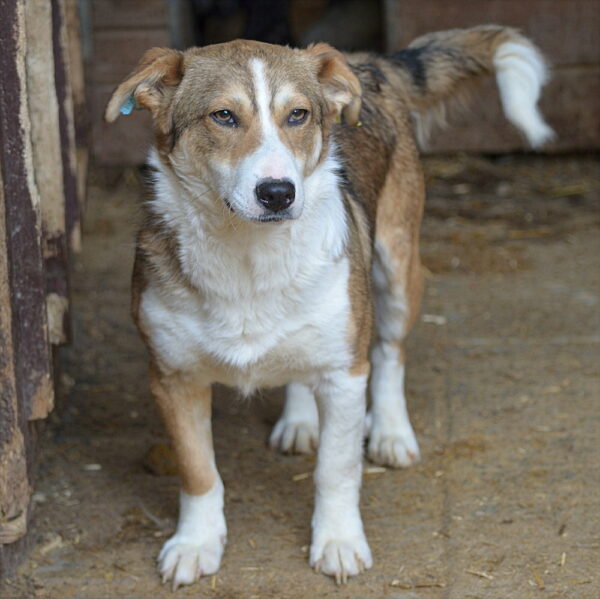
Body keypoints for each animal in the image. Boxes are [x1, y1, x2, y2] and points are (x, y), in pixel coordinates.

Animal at [105, 24, 552, 592]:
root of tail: (367, 62)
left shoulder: (344, 376)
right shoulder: (172, 378)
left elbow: (336, 470)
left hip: (395, 269)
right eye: (223, 116)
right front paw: (195, 544)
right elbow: (197, 470)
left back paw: (390, 432)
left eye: (298, 115)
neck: (248, 256)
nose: (278, 193)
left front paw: (338, 541)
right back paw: (300, 420)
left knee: (389, 353)